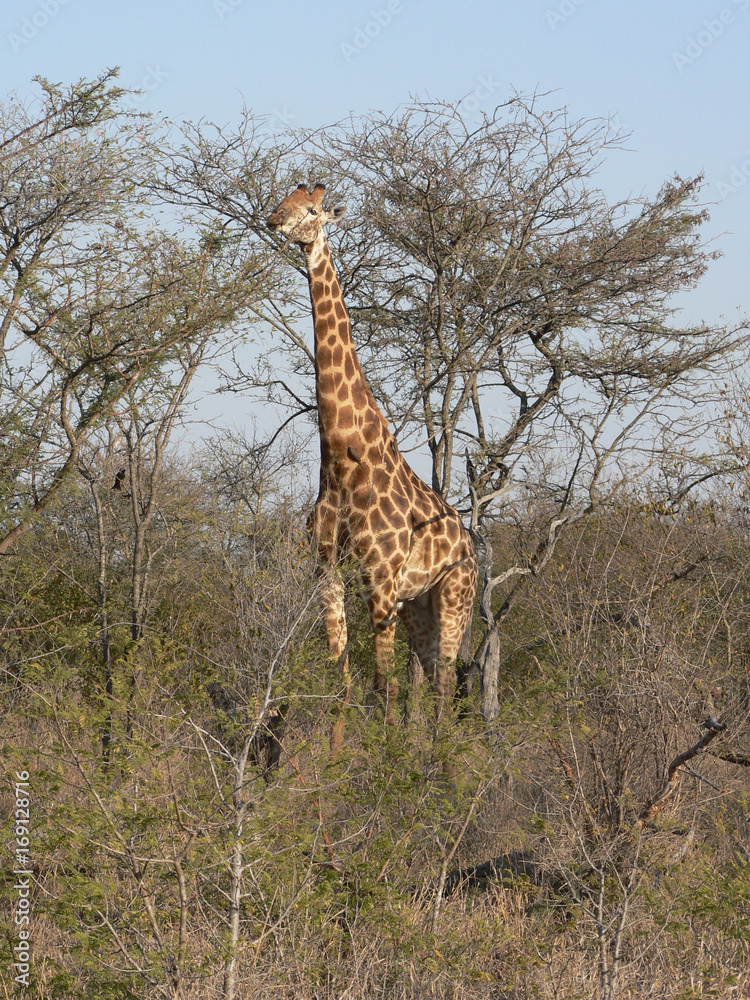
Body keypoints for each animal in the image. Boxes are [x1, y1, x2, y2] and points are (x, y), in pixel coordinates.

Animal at [267, 183, 477, 747]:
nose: (274, 221)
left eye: (312, 210)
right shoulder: (327, 572)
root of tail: (471, 547)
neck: (340, 458)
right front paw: (336, 760)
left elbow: (382, 685)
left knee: (444, 681)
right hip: (418, 607)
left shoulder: (379, 580)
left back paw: (440, 757)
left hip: (454, 597)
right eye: (283, 197)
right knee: (427, 678)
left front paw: (381, 763)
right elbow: (339, 677)